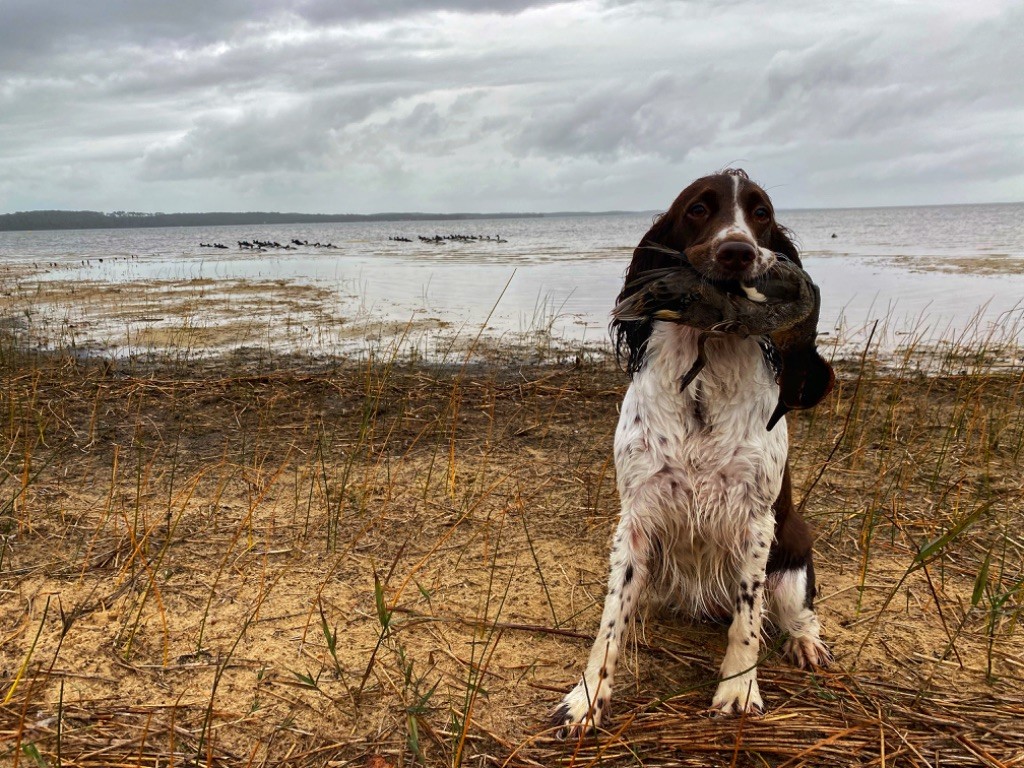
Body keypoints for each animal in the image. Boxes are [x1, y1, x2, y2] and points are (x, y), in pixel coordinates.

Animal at [557, 169, 835, 741]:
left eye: (761, 213)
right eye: (698, 209)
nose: (738, 252)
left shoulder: (755, 521)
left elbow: (747, 622)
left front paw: (738, 690)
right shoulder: (637, 517)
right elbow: (610, 623)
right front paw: (587, 699)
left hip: (794, 553)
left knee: (795, 612)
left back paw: (806, 643)